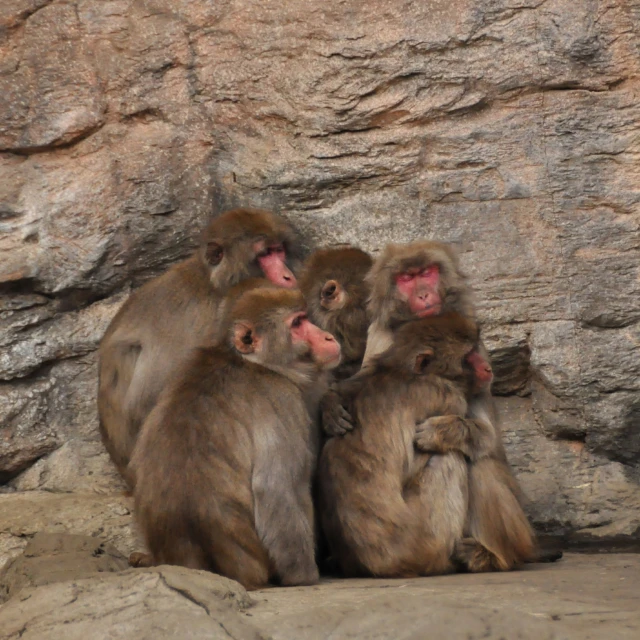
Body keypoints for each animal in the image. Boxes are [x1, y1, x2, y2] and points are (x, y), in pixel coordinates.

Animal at [97, 208, 302, 488]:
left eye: (278, 249)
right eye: (264, 254)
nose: (287, 276)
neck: (212, 284)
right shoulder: (201, 318)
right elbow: (148, 399)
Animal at [129, 286, 340, 592]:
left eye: (304, 317)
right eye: (297, 324)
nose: (328, 337)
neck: (254, 363)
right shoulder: (283, 399)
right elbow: (275, 488)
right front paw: (303, 576)